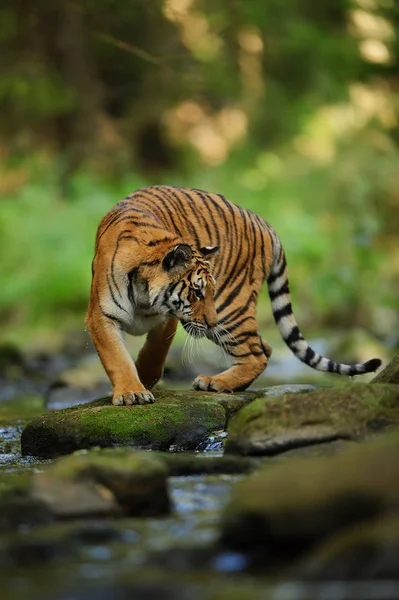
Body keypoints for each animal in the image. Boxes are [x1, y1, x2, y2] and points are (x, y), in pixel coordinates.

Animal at [86, 185, 382, 406]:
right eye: (197, 292)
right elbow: (116, 357)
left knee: (256, 353)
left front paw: (143, 381)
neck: (144, 292)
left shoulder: (168, 317)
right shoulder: (101, 316)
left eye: (208, 291)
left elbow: (154, 352)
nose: (212, 322)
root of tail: (262, 220)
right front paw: (132, 391)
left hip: (231, 308)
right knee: (265, 347)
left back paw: (214, 382)